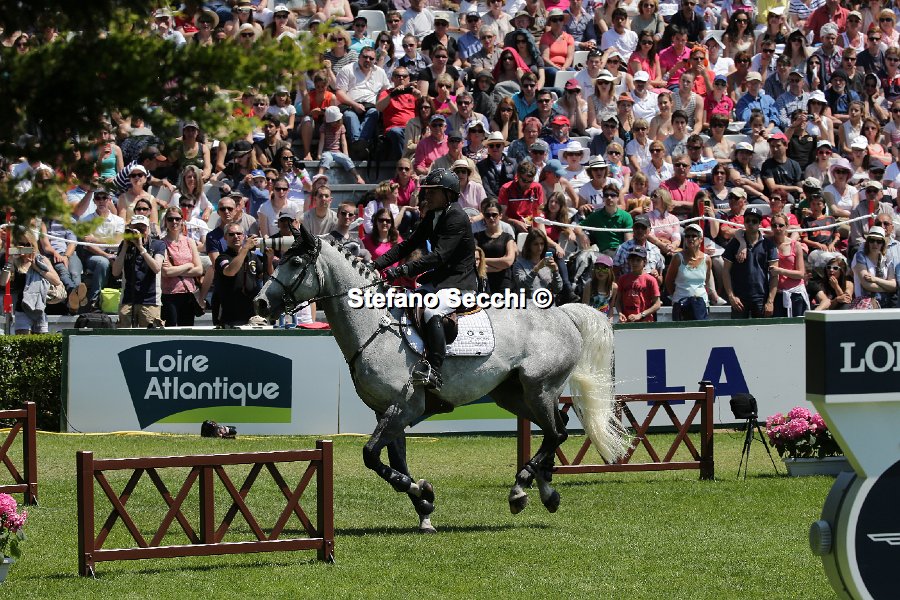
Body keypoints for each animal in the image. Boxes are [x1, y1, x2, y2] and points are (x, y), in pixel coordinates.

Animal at [255, 224, 627, 533]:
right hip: (515, 394)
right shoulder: (387, 413)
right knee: (556, 431)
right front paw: (424, 505)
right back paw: (544, 492)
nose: (260, 303)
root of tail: (563, 313)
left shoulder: (401, 408)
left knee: (556, 433)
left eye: (295, 262)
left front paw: (422, 493)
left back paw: (520, 488)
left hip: (539, 388)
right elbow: (396, 463)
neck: (374, 327)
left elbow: (371, 456)